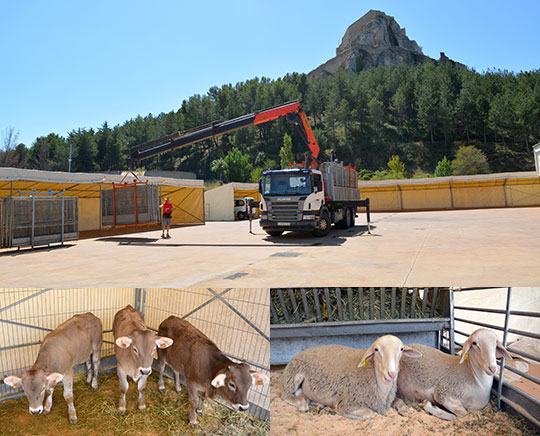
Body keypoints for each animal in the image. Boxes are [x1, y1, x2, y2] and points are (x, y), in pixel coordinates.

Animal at [280, 334, 424, 418]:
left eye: (401, 349)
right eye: (376, 349)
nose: (392, 374)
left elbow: (400, 402)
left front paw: (402, 407)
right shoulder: (346, 402)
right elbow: (368, 413)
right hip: (293, 376)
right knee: (285, 395)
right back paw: (302, 404)